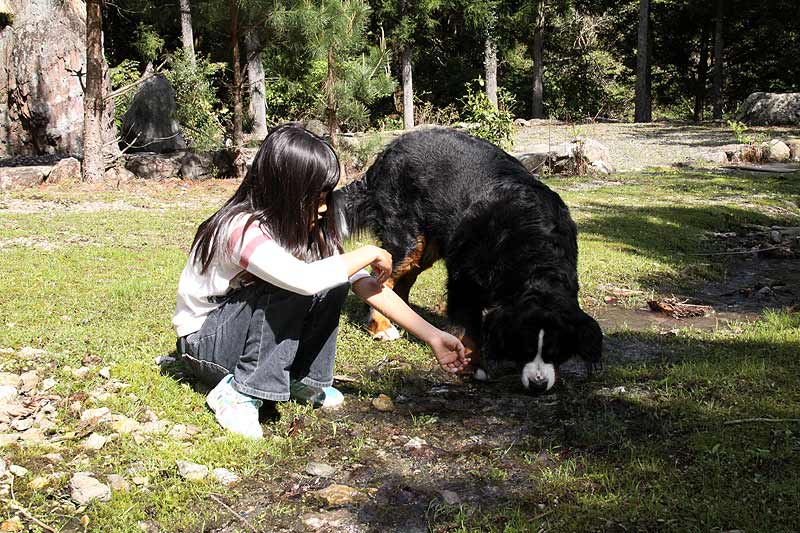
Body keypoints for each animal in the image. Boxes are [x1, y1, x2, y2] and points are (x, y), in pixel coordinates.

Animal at [338, 127, 600, 388]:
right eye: (523, 346)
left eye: (555, 350)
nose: (538, 384)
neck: (534, 255)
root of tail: (388, 150)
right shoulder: (464, 279)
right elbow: (467, 327)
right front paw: (473, 366)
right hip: (406, 238)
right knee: (384, 278)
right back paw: (382, 327)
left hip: (427, 246)